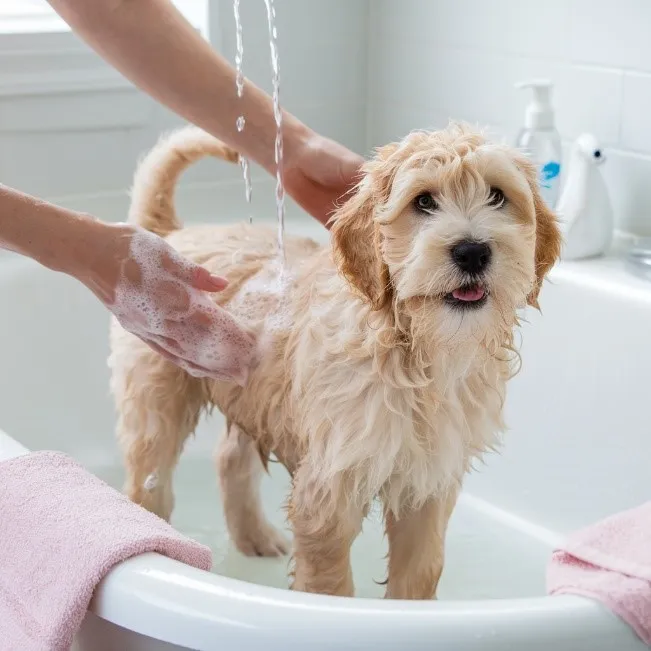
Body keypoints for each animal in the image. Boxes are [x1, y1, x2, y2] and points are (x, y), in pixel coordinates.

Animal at [109, 122, 564, 600]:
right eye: (423, 201)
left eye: (497, 195)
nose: (473, 251)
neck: (413, 349)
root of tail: (171, 234)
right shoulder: (329, 488)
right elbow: (328, 581)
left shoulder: (428, 481)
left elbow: (420, 571)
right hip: (156, 394)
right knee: (149, 477)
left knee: (230, 458)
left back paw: (255, 538)